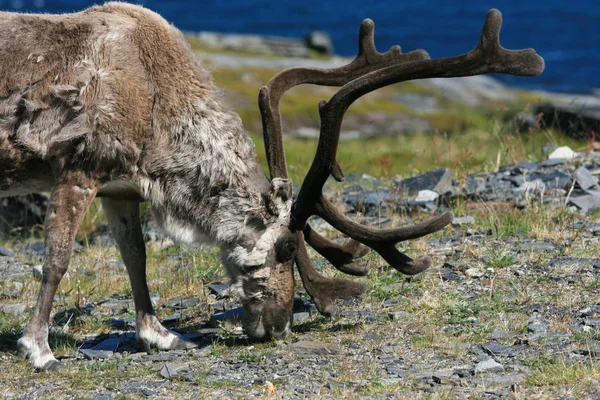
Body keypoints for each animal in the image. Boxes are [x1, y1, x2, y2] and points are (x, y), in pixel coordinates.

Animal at [0, 1, 544, 370]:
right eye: (285, 249)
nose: (278, 326)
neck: (159, 103)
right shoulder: (79, 170)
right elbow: (57, 260)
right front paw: (38, 348)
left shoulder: (119, 186)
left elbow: (137, 258)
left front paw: (159, 335)